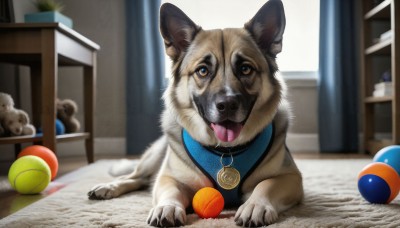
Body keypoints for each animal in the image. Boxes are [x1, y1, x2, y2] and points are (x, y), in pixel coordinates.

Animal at [88, 0, 304, 226]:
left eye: (245, 69)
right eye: (203, 70)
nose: (227, 104)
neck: (226, 152)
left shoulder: (291, 177)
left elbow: (265, 185)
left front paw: (256, 205)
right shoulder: (168, 177)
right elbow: (170, 190)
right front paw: (167, 207)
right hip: (154, 157)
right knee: (135, 177)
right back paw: (108, 187)